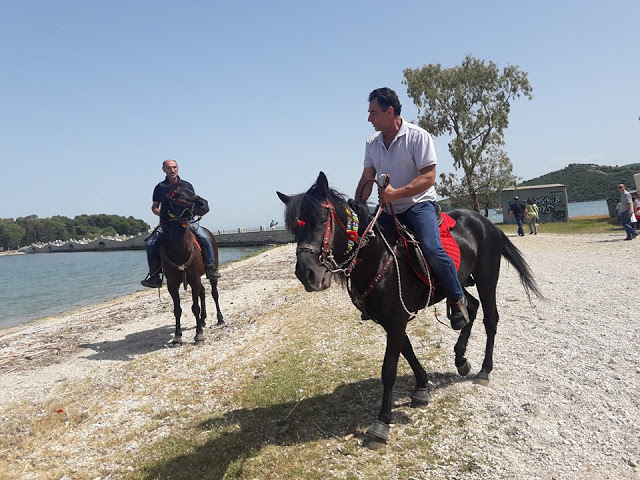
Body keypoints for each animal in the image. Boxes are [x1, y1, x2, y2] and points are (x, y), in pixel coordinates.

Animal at [160, 186, 225, 344]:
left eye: (190, 191)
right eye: (176, 195)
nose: (203, 204)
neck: (180, 251)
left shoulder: (194, 279)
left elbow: (195, 307)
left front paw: (199, 334)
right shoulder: (172, 284)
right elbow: (177, 309)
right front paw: (177, 336)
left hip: (211, 274)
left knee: (214, 293)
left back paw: (219, 319)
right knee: (202, 291)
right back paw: (202, 320)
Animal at [276, 172, 540, 442]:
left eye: (321, 219)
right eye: (294, 229)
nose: (306, 274)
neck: (379, 257)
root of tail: (486, 223)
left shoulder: (396, 319)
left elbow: (389, 368)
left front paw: (382, 421)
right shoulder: (390, 320)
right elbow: (408, 352)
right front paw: (422, 387)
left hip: (487, 277)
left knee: (490, 319)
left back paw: (484, 371)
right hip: (457, 282)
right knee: (470, 308)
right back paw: (461, 359)